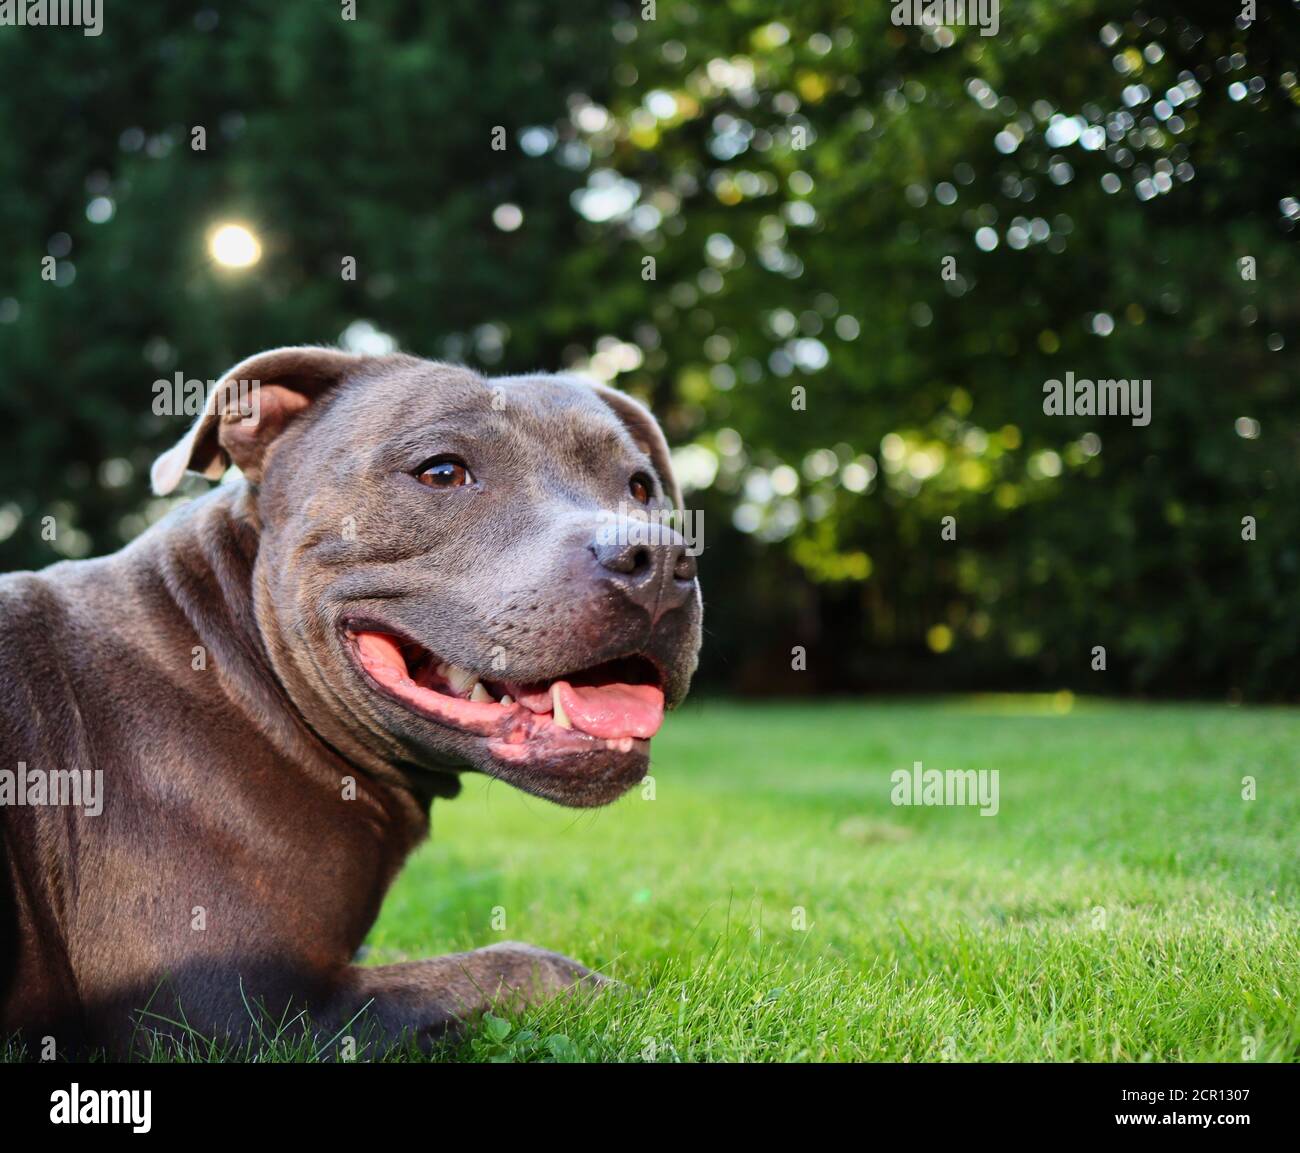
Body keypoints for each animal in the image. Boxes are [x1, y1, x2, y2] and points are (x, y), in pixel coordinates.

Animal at [0, 348, 702, 1060]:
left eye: (640, 488)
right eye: (442, 472)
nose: (658, 560)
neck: (237, 667)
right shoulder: (233, 1010)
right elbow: (516, 963)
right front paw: (628, 999)